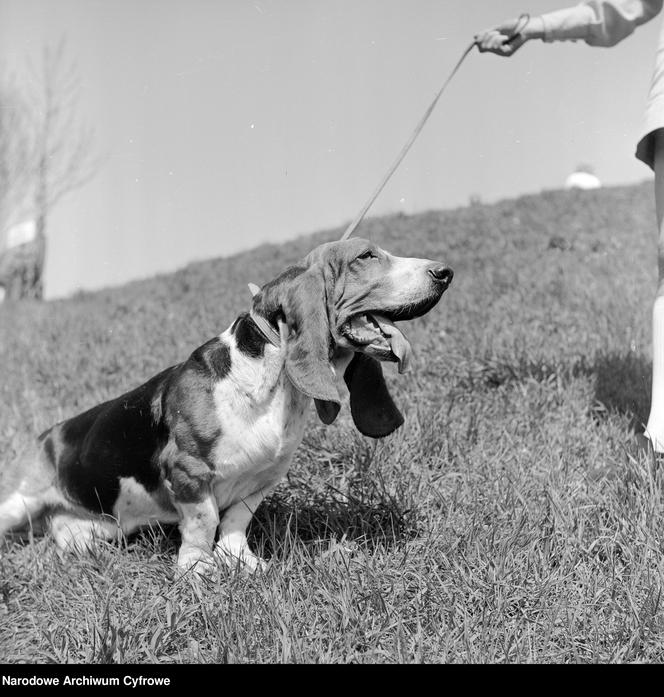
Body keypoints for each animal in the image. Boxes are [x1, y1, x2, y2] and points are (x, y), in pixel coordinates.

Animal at [0, 237, 452, 572]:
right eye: (366, 256)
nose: (445, 272)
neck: (267, 380)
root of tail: (43, 437)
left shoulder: (265, 477)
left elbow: (235, 522)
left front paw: (242, 563)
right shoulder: (188, 471)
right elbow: (205, 522)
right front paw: (198, 571)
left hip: (92, 535)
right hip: (18, 501)